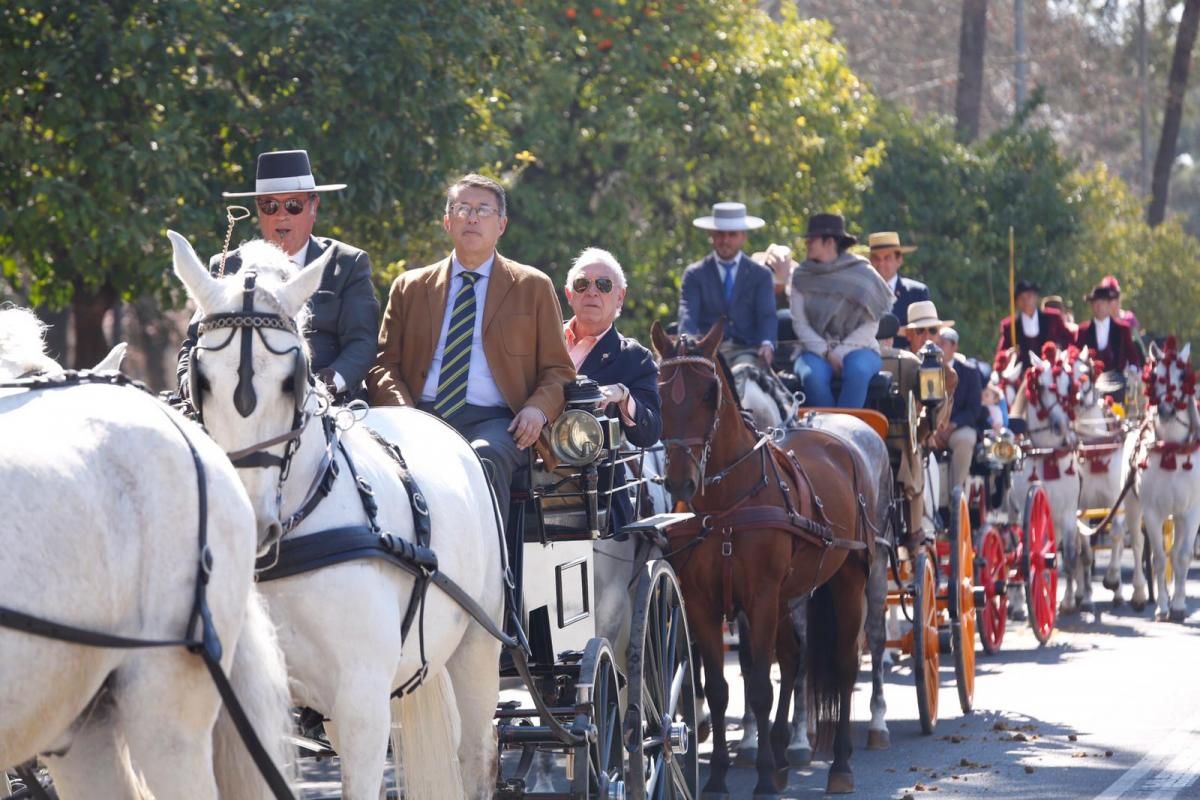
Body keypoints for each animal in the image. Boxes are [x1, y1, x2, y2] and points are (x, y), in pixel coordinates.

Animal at [171, 232, 504, 800]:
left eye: (293, 379)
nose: (250, 526)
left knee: (477, 757)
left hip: (476, 651)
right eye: (201, 378)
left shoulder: (363, 702)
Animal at [648, 321, 892, 796]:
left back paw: (841, 762)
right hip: (788, 596)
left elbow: (760, 685)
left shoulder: (759, 597)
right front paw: (719, 777)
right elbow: (720, 687)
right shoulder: (704, 603)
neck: (725, 505)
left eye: (710, 393)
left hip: (853, 578)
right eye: (661, 391)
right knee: (795, 657)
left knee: (848, 662)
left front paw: (760, 775)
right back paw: (782, 752)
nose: (680, 480)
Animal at [1012, 345, 1089, 614]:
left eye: (1068, 386)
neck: (1047, 453)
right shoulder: (1023, 510)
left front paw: (1066, 601)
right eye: (1042, 386)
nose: (1060, 425)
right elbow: (1022, 552)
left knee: (1072, 551)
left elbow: (1069, 558)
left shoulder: (1068, 513)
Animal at [1118, 340, 1195, 623]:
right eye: (1155, 377)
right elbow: (1159, 559)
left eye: (1182, 377)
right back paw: (1141, 594)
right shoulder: (1152, 512)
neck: (1171, 449)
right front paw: (1162, 608)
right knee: (1138, 544)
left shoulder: (1190, 512)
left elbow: (1181, 556)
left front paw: (1179, 605)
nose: (1166, 410)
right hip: (1132, 505)